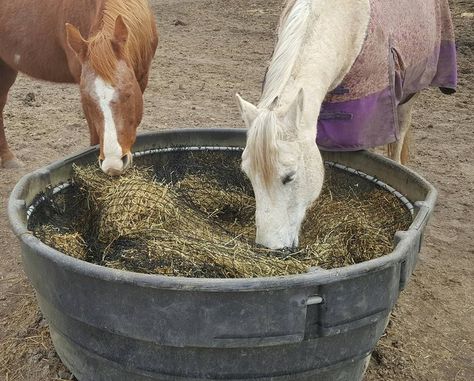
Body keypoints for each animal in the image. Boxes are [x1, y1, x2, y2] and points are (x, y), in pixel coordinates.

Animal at [236, 0, 456, 248]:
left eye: (289, 176)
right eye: (248, 174)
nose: (268, 247)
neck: (345, 21)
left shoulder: (367, 118)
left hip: (410, 92)